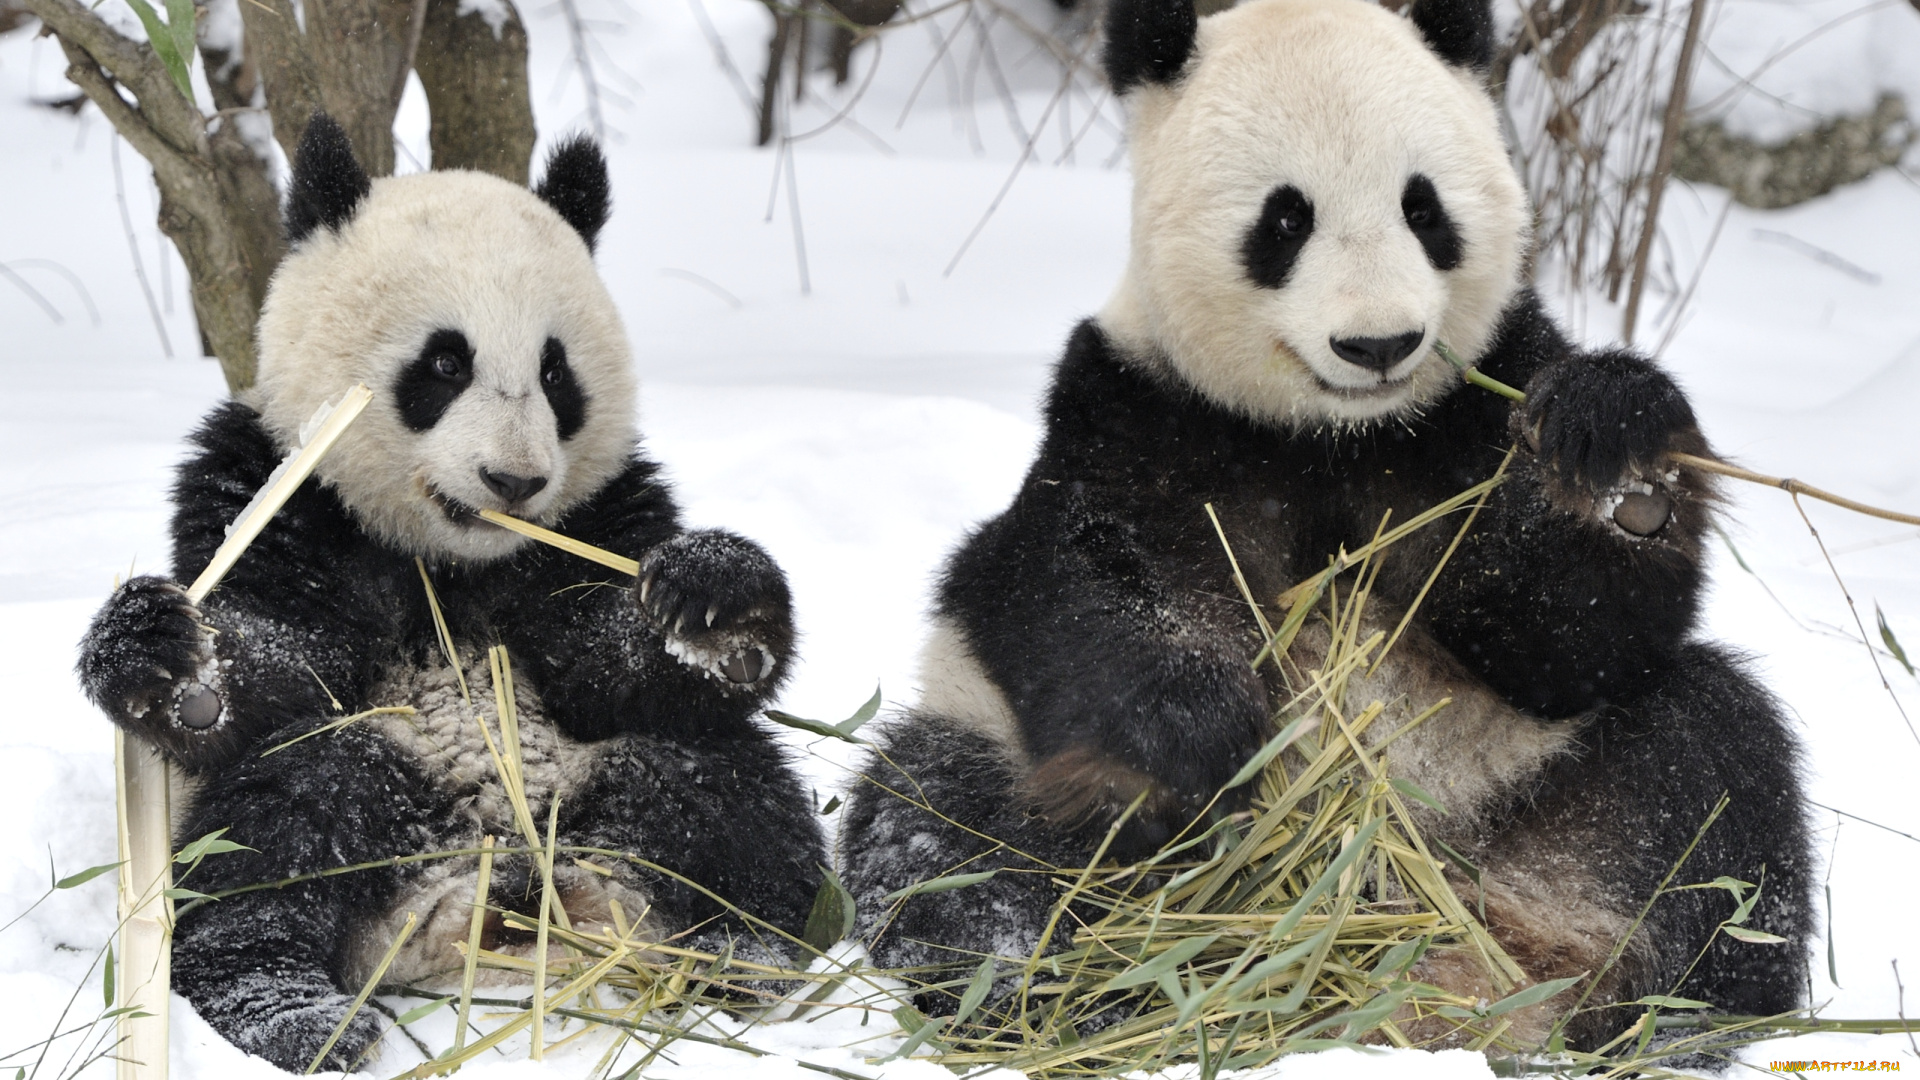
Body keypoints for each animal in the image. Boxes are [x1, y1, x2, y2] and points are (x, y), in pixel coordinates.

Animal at [78, 117, 825, 1068]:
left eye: (556, 374)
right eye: (444, 363)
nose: (516, 480)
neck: (451, 559)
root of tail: (493, 891)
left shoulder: (597, 512)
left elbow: (605, 661)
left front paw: (718, 604)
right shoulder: (274, 486)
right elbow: (282, 662)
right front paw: (166, 656)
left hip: (613, 784)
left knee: (728, 793)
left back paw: (741, 953)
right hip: (369, 790)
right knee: (278, 826)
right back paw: (292, 1012)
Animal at [833, 0, 1804, 1053]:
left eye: (1424, 209)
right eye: (1285, 219)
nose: (1380, 344)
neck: (1333, 437)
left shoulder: (1476, 415)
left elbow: (1564, 637)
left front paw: (1616, 457)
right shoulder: (1133, 416)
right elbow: (1077, 582)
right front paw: (1194, 741)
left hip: (1548, 779)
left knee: (1715, 787)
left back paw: (1673, 1022)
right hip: (990, 735)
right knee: (948, 835)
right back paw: (1064, 987)